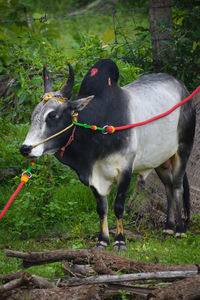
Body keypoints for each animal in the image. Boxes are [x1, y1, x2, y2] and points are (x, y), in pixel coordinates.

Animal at [20, 58, 195, 251]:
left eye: (53, 116)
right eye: (33, 116)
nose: (25, 148)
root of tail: (182, 87)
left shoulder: (125, 168)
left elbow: (118, 206)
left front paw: (120, 241)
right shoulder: (93, 176)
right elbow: (101, 208)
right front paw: (102, 240)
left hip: (183, 149)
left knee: (177, 186)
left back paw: (180, 230)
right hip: (160, 161)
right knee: (168, 187)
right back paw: (168, 228)